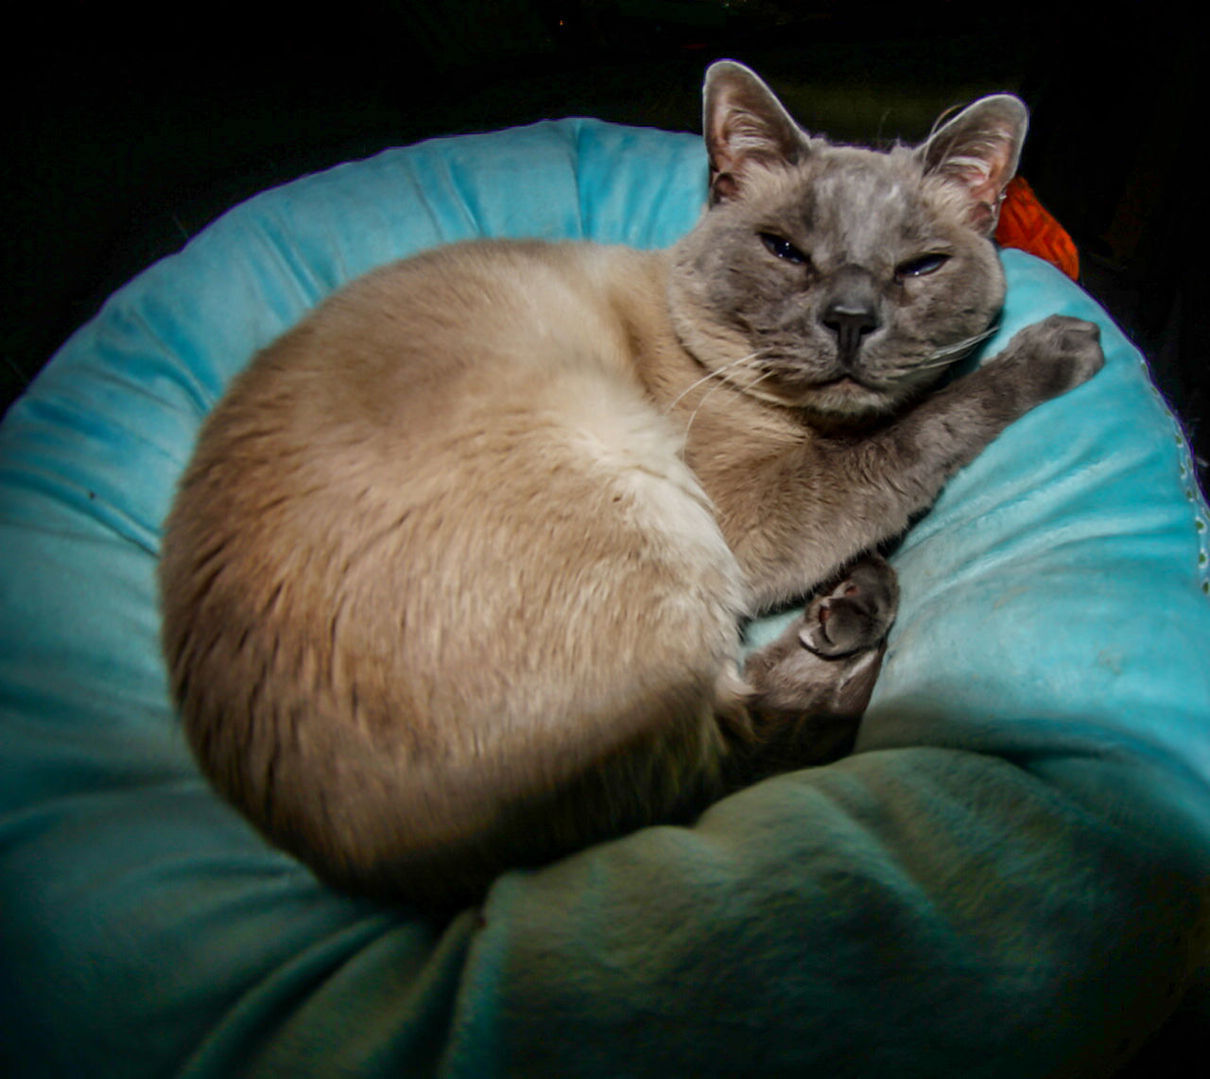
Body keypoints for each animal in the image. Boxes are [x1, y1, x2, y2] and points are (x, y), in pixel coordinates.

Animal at [160, 61, 1108, 909]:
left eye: (919, 267)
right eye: (786, 252)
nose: (848, 320)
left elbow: (884, 508)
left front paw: (850, 598)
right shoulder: (759, 517)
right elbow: (912, 443)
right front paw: (1066, 350)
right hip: (637, 492)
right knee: (733, 755)